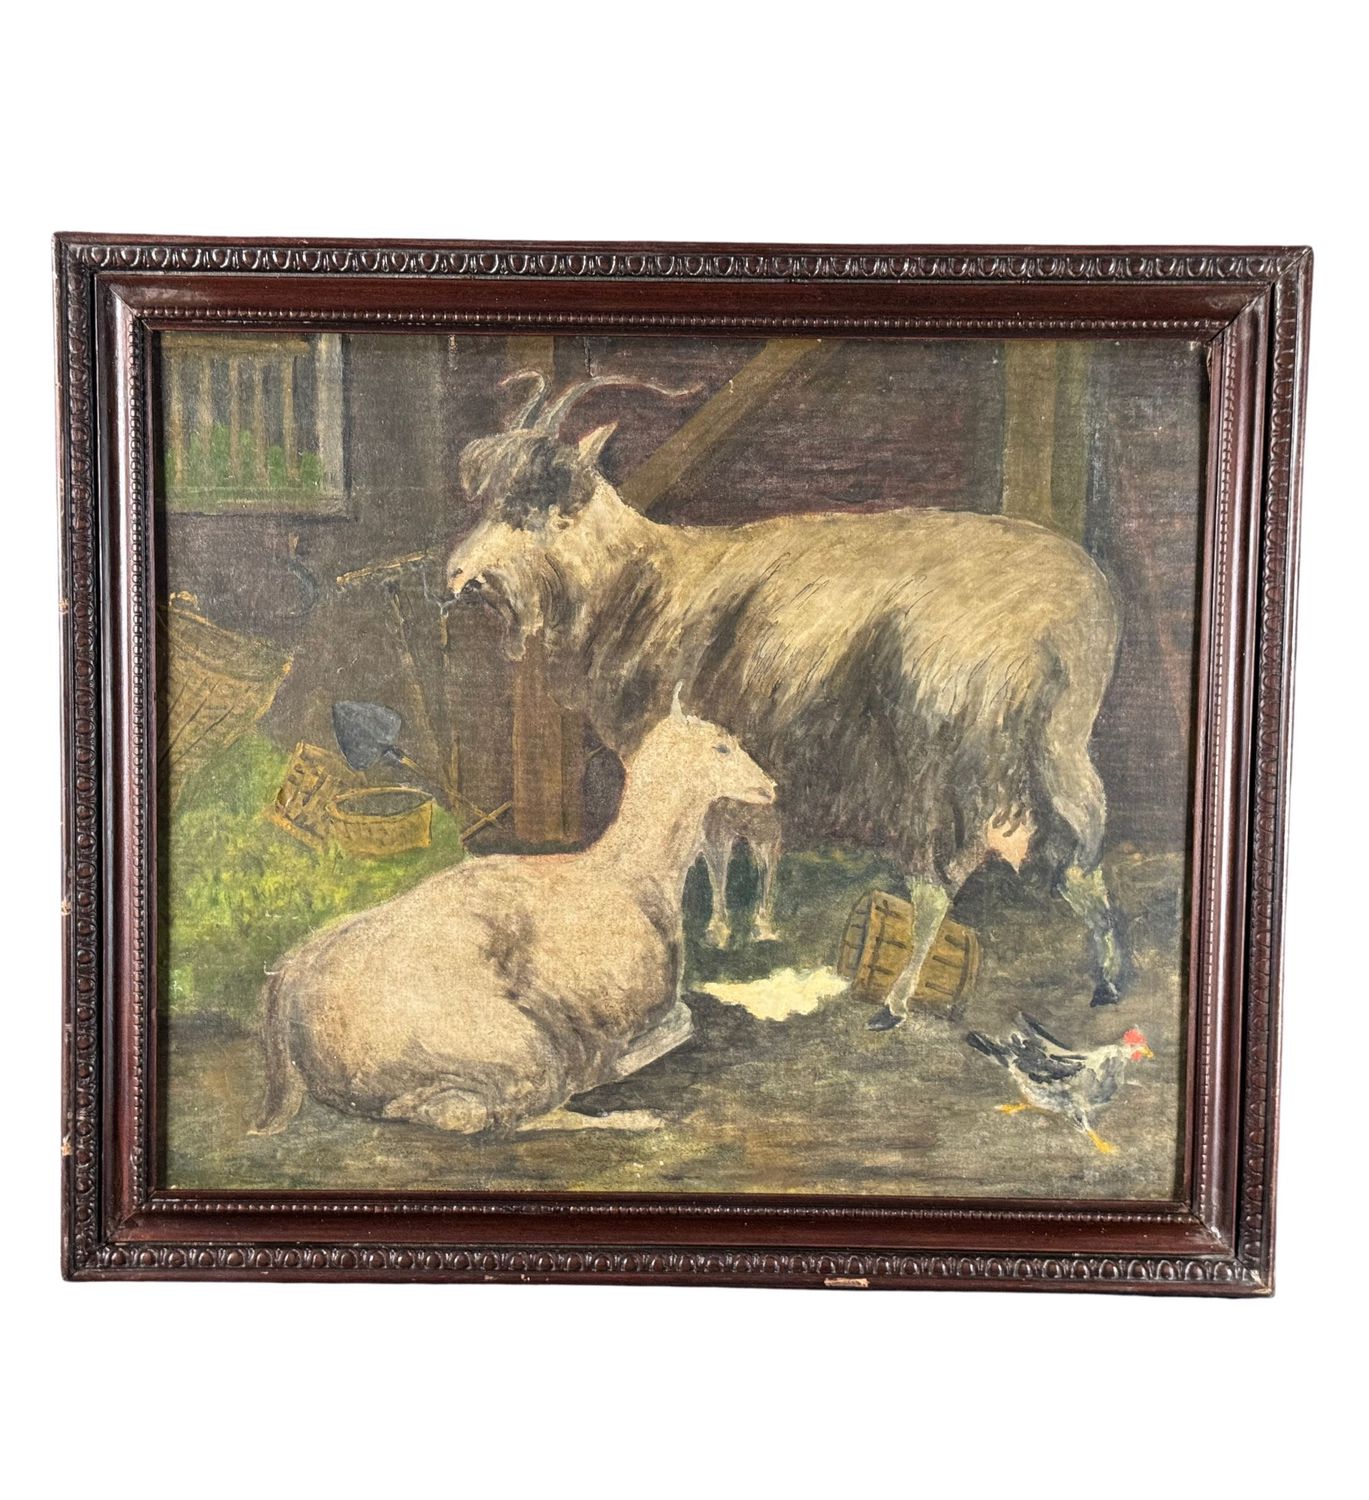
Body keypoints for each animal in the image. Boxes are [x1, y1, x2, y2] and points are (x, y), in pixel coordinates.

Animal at [251, 692, 776, 1136]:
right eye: (722, 747)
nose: (770, 787)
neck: (627, 872)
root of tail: (288, 979)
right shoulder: (630, 1011)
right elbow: (681, 1019)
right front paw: (615, 1064)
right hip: (514, 1047)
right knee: (485, 1113)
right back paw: (630, 1114)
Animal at [443, 371, 1126, 1028]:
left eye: (546, 503)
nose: (456, 578)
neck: (646, 579)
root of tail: (1063, 614)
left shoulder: (692, 738)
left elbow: (711, 844)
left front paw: (721, 928)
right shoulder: (750, 751)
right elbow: (757, 840)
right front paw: (756, 923)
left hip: (936, 754)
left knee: (940, 880)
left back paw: (894, 1003)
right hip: (1058, 742)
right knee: (1081, 848)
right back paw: (1109, 979)